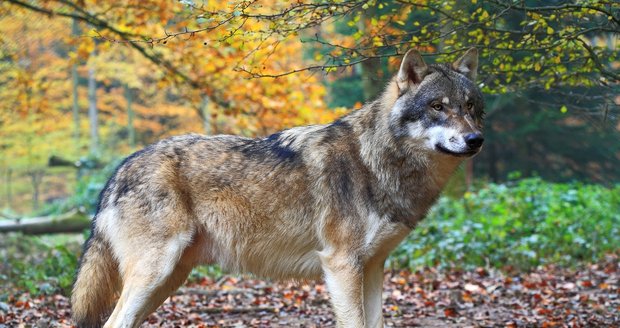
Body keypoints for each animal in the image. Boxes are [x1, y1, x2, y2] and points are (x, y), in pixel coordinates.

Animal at [71, 48, 484, 328]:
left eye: (470, 106)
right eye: (437, 106)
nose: (476, 139)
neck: (376, 159)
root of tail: (119, 169)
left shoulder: (373, 266)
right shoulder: (341, 265)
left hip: (166, 281)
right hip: (154, 274)